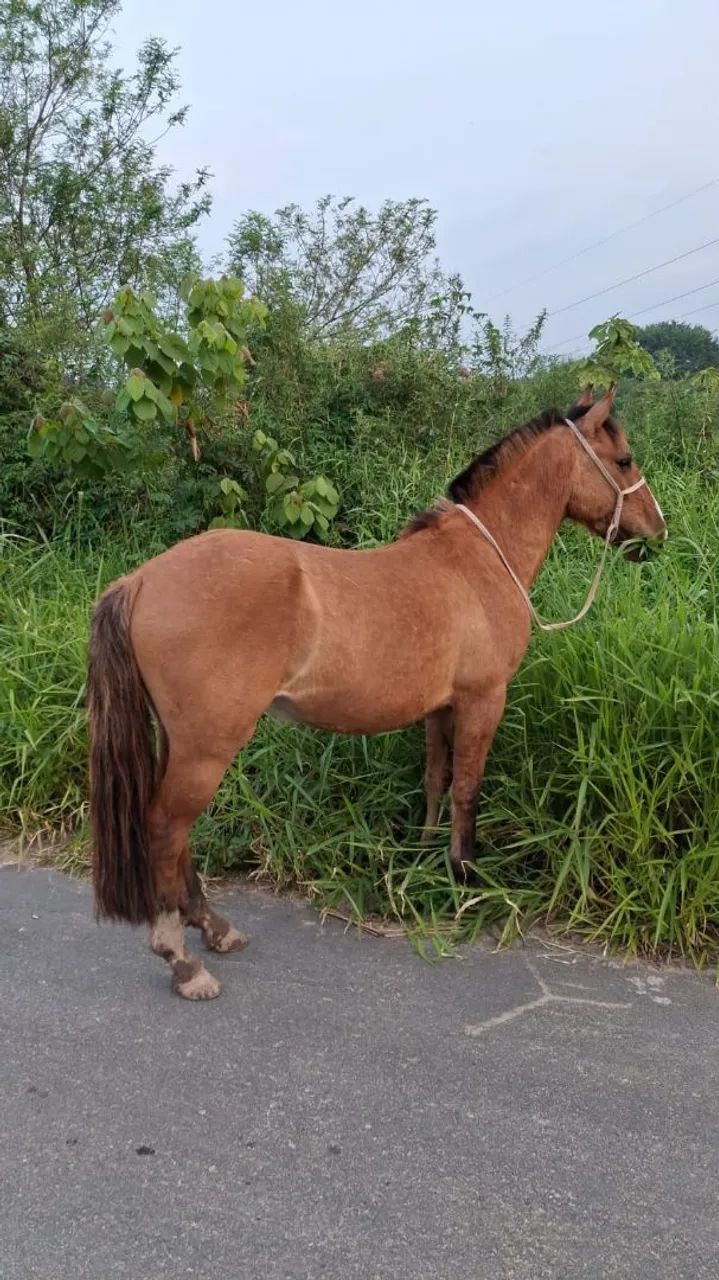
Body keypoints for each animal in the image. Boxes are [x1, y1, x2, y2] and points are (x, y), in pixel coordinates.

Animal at [87, 384, 666, 1000]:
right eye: (624, 459)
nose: (657, 530)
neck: (480, 559)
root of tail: (140, 580)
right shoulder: (484, 699)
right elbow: (467, 789)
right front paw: (465, 877)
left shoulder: (441, 707)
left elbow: (436, 780)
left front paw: (422, 857)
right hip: (207, 747)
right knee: (164, 829)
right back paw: (182, 960)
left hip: (181, 743)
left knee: (178, 835)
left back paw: (215, 928)